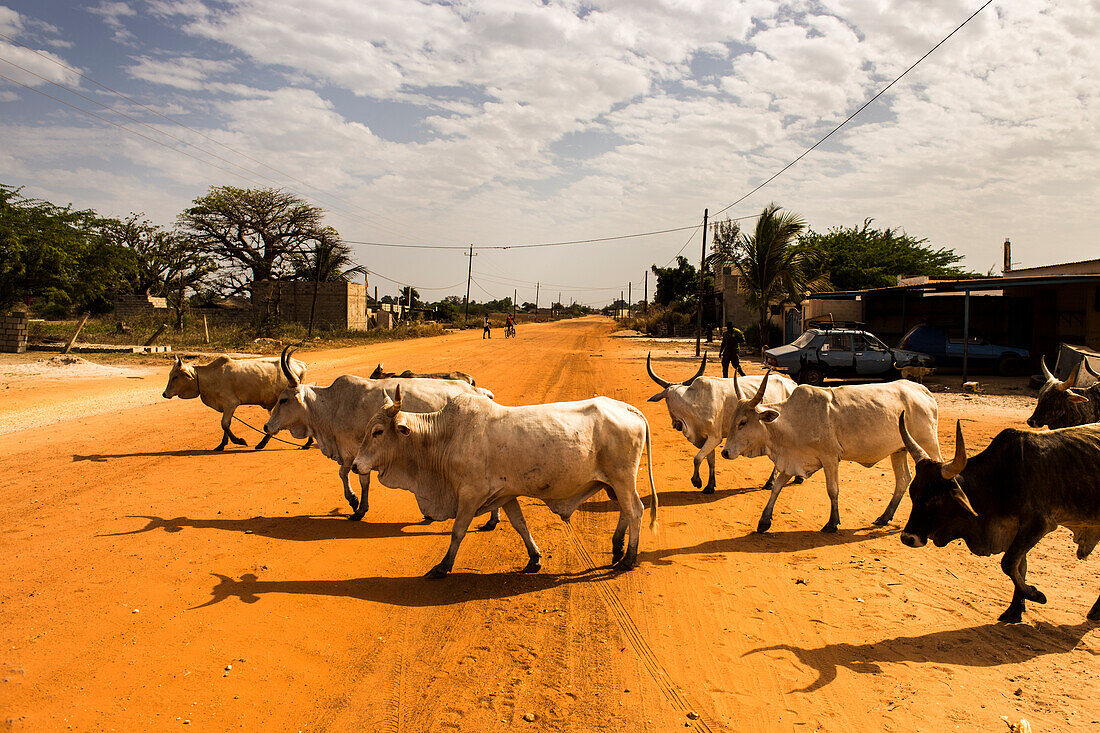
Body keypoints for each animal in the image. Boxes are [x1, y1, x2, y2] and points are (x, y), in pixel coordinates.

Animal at [264, 345, 497, 521]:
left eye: (283, 400)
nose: (266, 427)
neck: (333, 405)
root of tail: (478, 390)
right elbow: (349, 475)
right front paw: (357, 504)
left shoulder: (356, 450)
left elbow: (353, 477)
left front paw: (357, 505)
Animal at [352, 385, 655, 581]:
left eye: (378, 432)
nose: (355, 465)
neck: (444, 437)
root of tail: (629, 409)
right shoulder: (506, 495)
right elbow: (520, 525)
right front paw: (534, 558)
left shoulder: (470, 494)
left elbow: (458, 531)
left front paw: (443, 566)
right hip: (613, 484)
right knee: (626, 511)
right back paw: (617, 549)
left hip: (622, 478)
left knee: (635, 510)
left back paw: (628, 558)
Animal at [646, 354, 796, 490]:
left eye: (667, 402)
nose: (676, 425)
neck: (695, 401)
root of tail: (792, 384)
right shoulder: (707, 437)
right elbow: (710, 460)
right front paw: (710, 486)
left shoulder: (714, 437)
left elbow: (697, 458)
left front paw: (697, 481)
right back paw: (797, 478)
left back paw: (770, 483)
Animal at [717, 372, 941, 530]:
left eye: (743, 422)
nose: (725, 452)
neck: (794, 420)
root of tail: (922, 390)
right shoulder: (793, 459)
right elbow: (777, 487)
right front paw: (764, 521)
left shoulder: (830, 458)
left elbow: (832, 490)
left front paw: (832, 523)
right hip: (900, 450)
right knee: (903, 479)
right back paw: (885, 517)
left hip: (928, 443)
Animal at [897, 413, 1100, 620]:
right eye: (913, 493)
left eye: (935, 498)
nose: (908, 538)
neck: (998, 478)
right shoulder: (1017, 529)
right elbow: (1020, 565)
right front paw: (1015, 610)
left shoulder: (1038, 524)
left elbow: (1008, 563)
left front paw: (1035, 595)